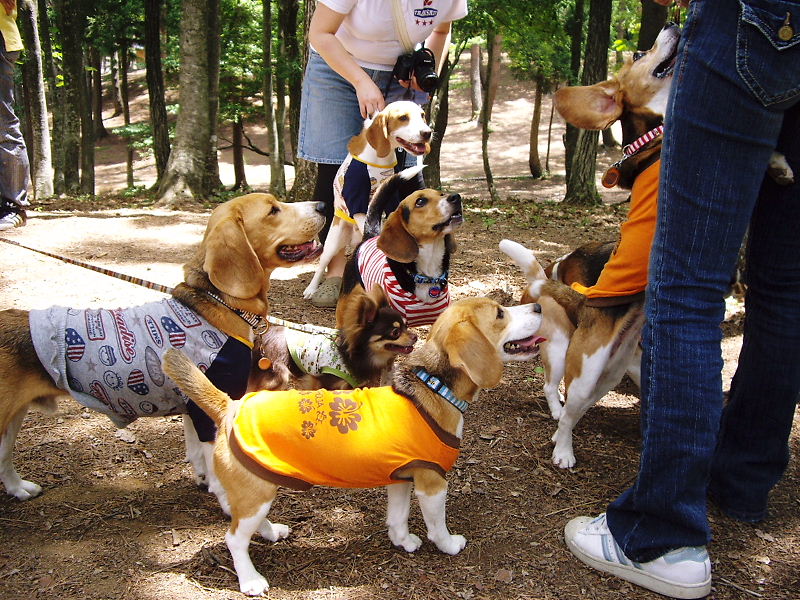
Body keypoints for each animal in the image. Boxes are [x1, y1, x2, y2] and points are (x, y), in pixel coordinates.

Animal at [0, 194, 325, 502]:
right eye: (273, 210)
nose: (323, 205)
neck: (219, 304)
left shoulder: (193, 406)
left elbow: (196, 453)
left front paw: (204, 481)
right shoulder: (214, 409)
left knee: (4, 459)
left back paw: (19, 488)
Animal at [162, 296, 545, 596]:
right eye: (500, 313)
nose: (540, 306)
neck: (435, 387)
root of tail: (231, 406)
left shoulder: (401, 478)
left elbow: (398, 517)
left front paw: (403, 541)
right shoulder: (432, 483)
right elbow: (437, 524)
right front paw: (449, 544)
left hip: (259, 488)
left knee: (244, 519)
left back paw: (272, 532)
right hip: (256, 493)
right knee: (235, 539)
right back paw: (251, 580)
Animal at [249, 283, 418, 391]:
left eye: (406, 326)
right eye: (395, 332)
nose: (416, 336)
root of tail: (260, 339)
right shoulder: (322, 381)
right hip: (278, 376)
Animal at [303, 100, 432, 301]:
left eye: (422, 115)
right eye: (403, 118)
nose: (427, 133)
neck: (380, 158)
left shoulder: (390, 196)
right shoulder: (358, 201)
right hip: (333, 241)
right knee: (323, 262)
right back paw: (311, 289)